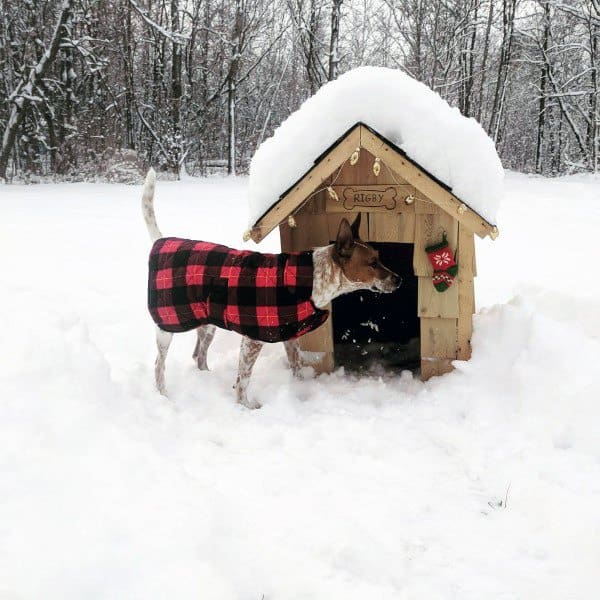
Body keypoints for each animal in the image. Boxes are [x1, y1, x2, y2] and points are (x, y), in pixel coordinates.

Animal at [143, 169, 400, 408]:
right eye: (372, 263)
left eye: (379, 256)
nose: (399, 279)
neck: (312, 278)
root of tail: (160, 241)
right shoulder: (253, 339)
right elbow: (244, 379)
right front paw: (245, 406)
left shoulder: (289, 335)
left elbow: (296, 366)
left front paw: (299, 389)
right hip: (167, 327)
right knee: (158, 365)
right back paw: (163, 395)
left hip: (207, 323)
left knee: (198, 355)